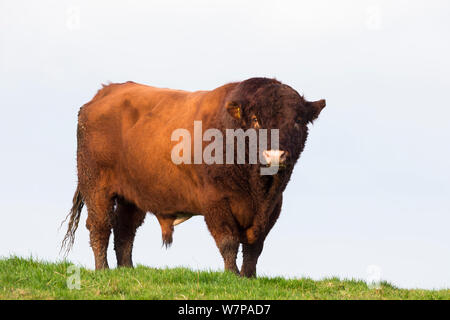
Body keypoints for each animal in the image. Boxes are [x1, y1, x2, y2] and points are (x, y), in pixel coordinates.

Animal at [61, 76, 326, 276]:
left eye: (297, 120)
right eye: (255, 120)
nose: (275, 155)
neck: (259, 189)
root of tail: (104, 92)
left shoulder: (273, 207)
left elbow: (255, 245)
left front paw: (249, 276)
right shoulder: (216, 202)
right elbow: (228, 240)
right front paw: (232, 275)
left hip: (132, 195)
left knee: (125, 228)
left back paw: (127, 270)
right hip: (96, 185)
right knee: (100, 225)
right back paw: (103, 270)